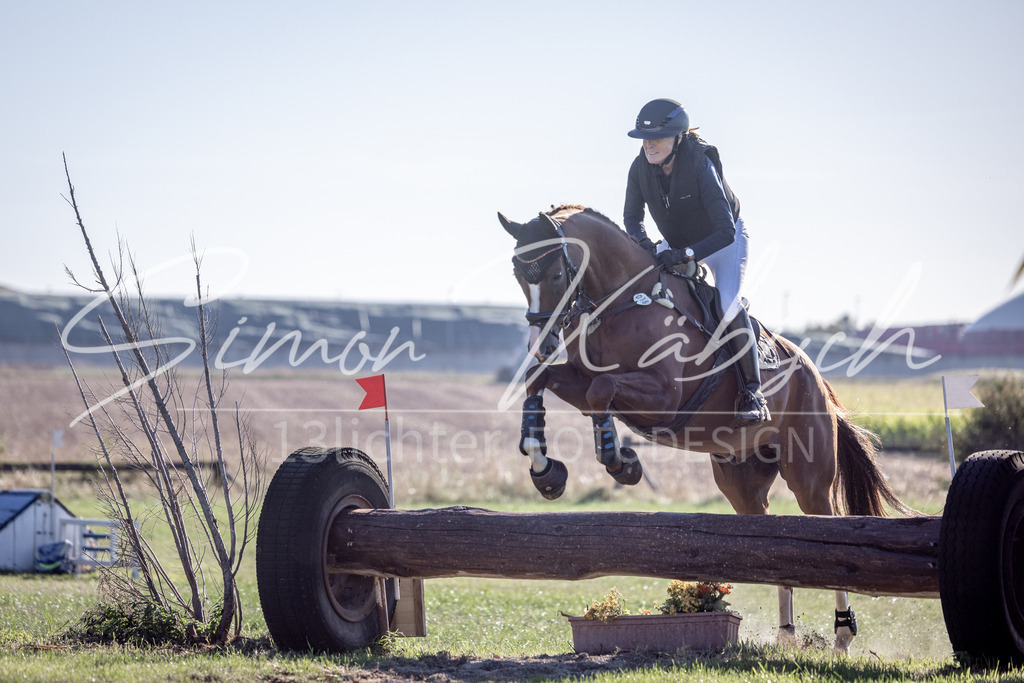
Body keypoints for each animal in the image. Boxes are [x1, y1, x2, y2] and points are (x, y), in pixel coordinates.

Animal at [498, 205, 913, 654]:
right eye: (518, 274)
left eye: (557, 274)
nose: (540, 344)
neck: (622, 300)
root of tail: (818, 380)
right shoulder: (578, 379)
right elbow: (544, 381)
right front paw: (546, 471)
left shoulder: (664, 395)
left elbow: (601, 389)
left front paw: (622, 464)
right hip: (741, 481)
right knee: (773, 536)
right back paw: (786, 634)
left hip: (809, 477)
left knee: (827, 523)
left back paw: (841, 633)